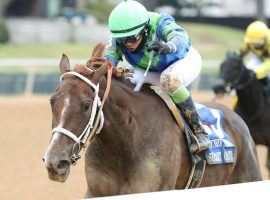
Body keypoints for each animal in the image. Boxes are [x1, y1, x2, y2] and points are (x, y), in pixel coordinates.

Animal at [43, 43, 260, 197]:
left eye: (86, 105)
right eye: (52, 101)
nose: (55, 162)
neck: (126, 145)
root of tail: (237, 119)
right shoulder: (96, 192)